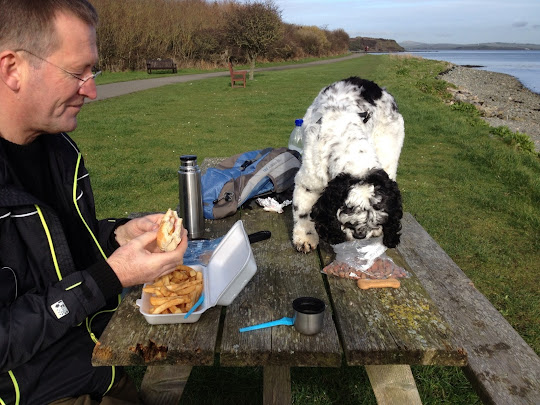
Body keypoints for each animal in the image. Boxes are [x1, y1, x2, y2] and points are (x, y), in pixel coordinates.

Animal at [292, 77, 404, 251]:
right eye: (348, 207)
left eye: (378, 210)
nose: (360, 235)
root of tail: (379, 89)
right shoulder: (309, 184)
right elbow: (303, 212)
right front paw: (305, 237)